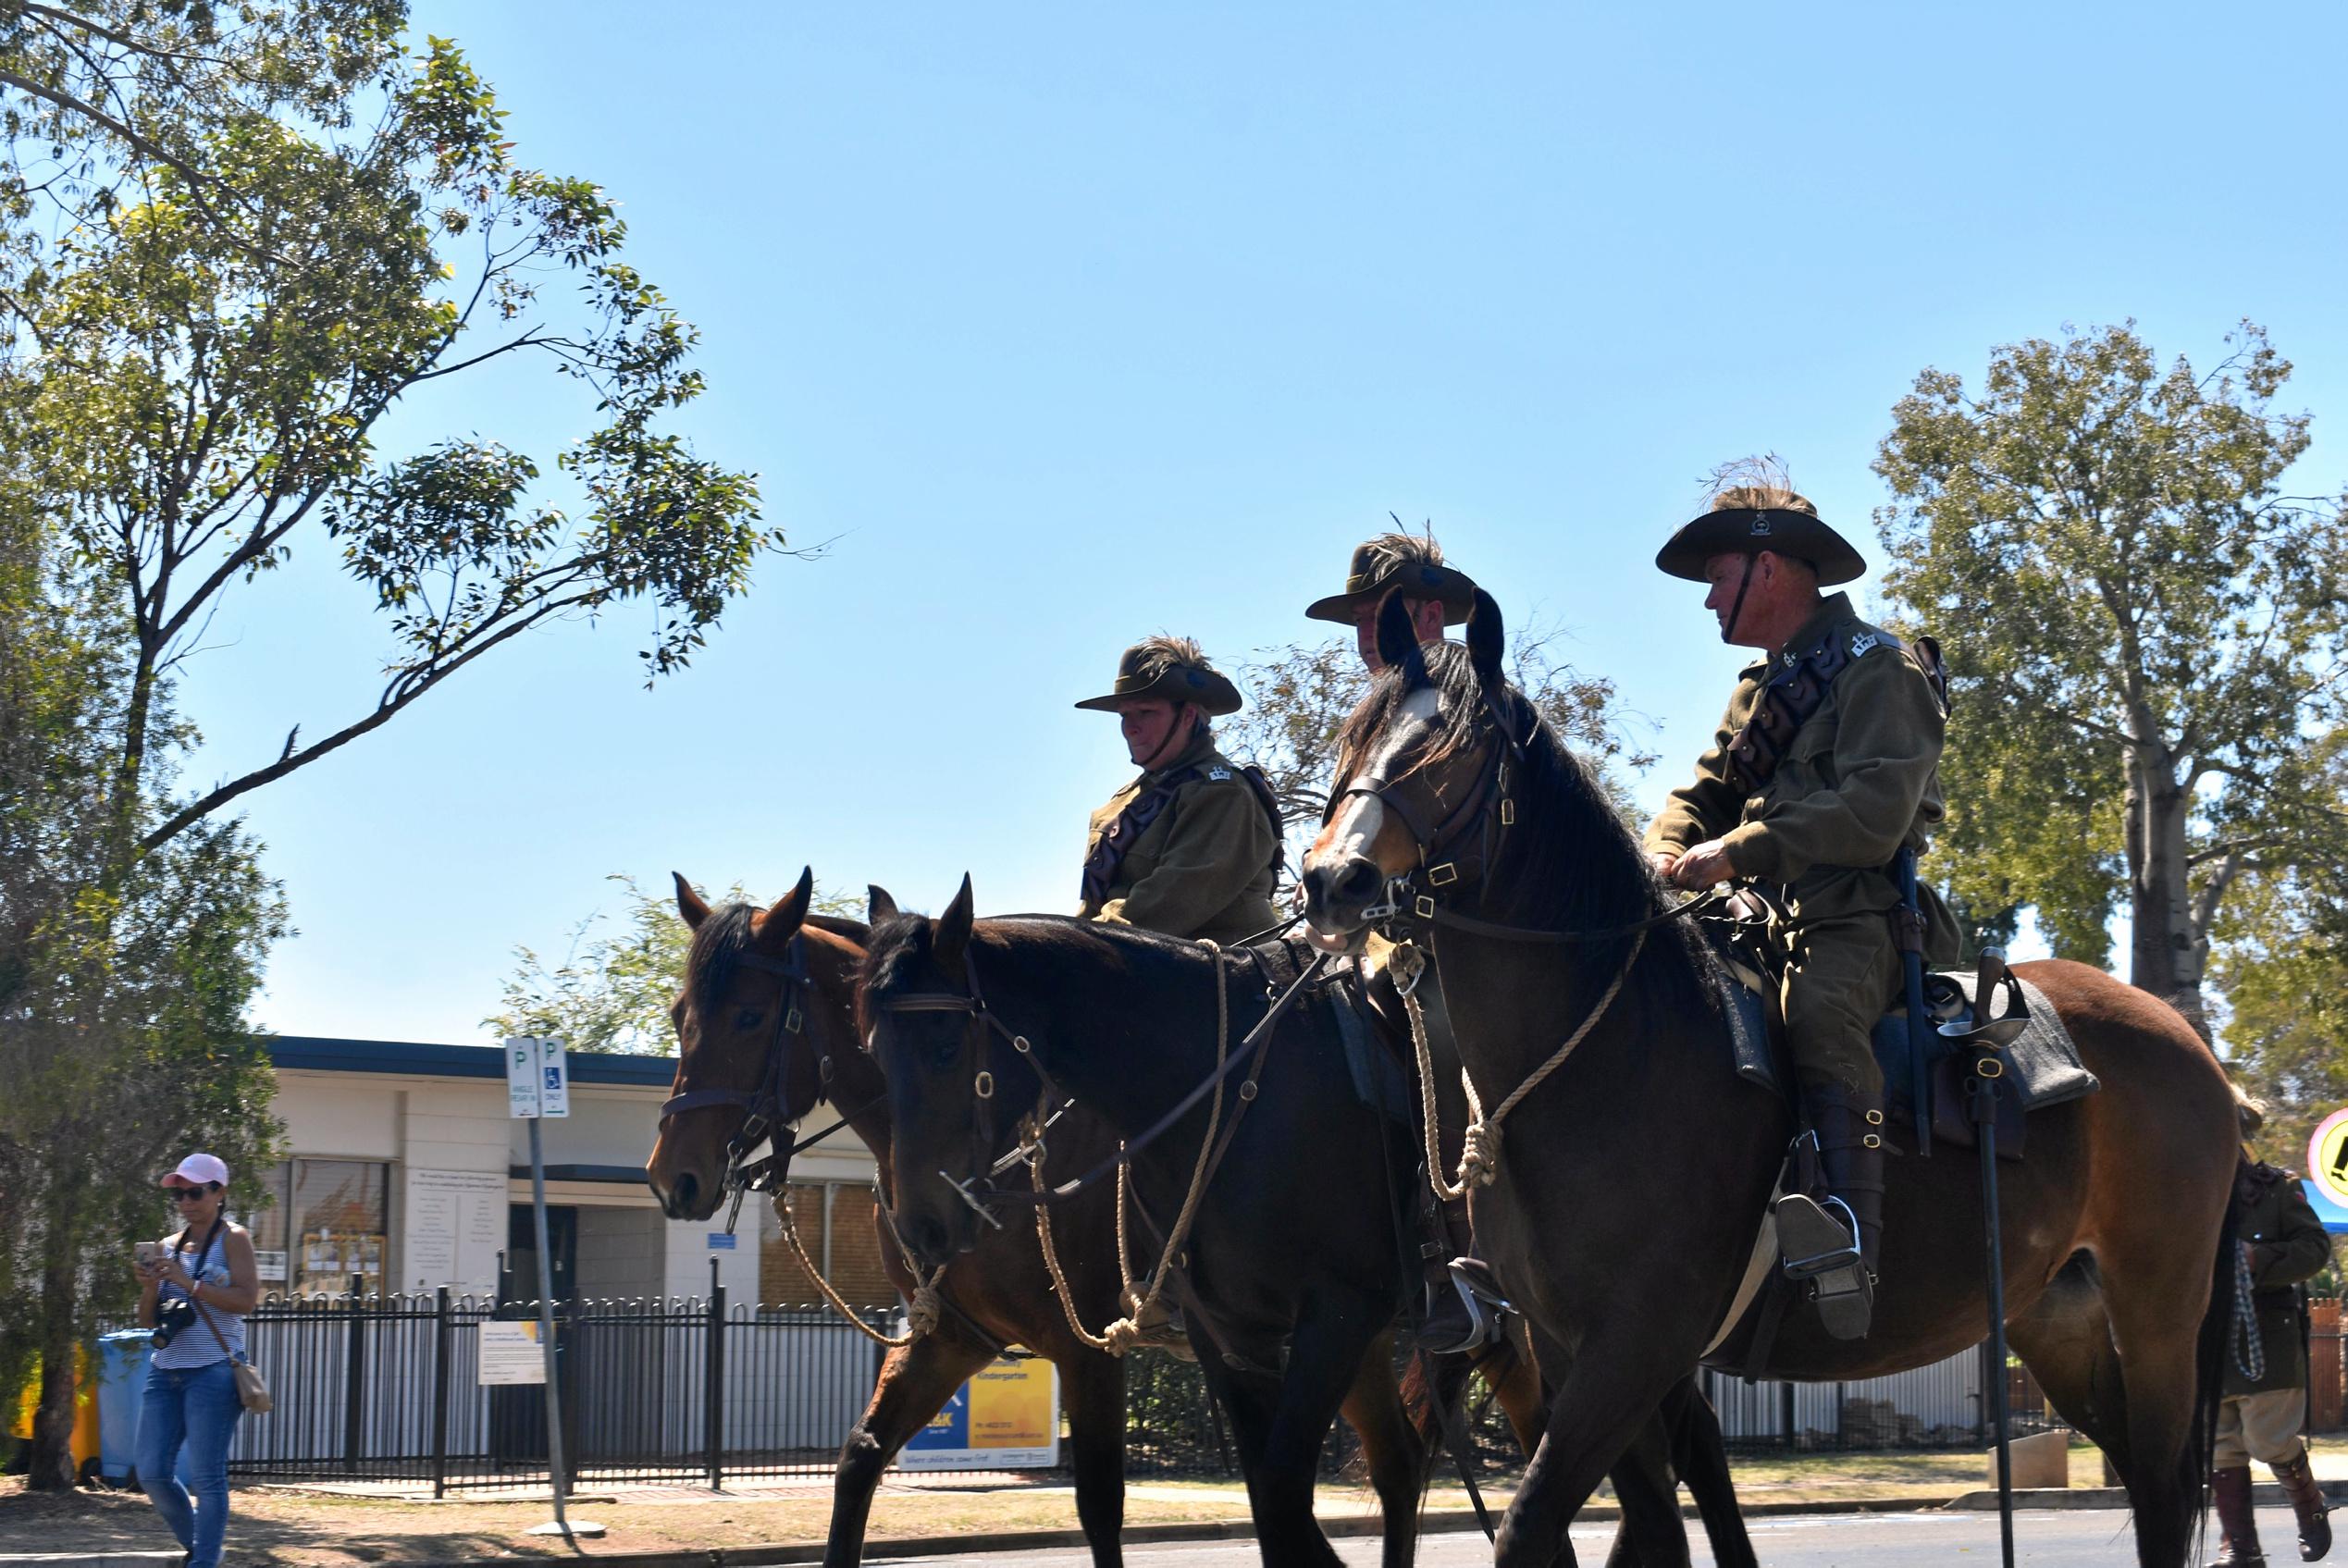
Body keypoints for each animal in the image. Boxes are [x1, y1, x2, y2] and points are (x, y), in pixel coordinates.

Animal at [643, 868, 1474, 1567]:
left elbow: (1101, 1503)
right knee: (1398, 1464)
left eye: (750, 1016)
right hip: (1358, 1339)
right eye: (680, 1014)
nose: (671, 1175)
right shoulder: (952, 1338)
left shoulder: (1089, 1345)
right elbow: (859, 1459)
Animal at [863, 877, 1765, 1558]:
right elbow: (1274, 1502)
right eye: (875, 1051)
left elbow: (1276, 1492)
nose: (920, 1229)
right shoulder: (1231, 1337)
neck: (1219, 1085)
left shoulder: (1333, 1316)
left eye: (945, 1047)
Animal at [1295, 591, 2244, 1567]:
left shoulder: (1635, 1346)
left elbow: (1535, 1523)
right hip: (2059, 1322)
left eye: (1454, 751)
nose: (1332, 878)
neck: (1596, 1061)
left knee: (2164, 1487)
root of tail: (2188, 1043)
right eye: (1357, 735)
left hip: (2157, 1315)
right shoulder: (1573, 1348)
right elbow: (1649, 1524)